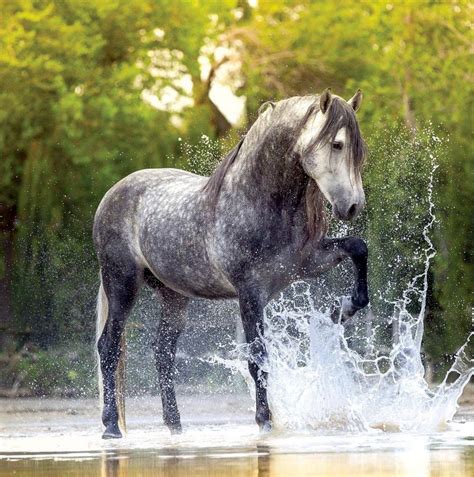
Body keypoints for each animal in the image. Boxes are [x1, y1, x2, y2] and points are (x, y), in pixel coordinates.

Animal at [94, 87, 370, 436]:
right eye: (337, 144)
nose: (352, 206)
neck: (257, 200)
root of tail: (112, 195)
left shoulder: (306, 264)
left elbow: (358, 247)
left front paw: (345, 308)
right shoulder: (250, 292)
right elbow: (258, 357)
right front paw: (265, 420)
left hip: (174, 296)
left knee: (163, 352)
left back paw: (175, 425)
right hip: (122, 283)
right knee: (108, 347)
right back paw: (110, 426)